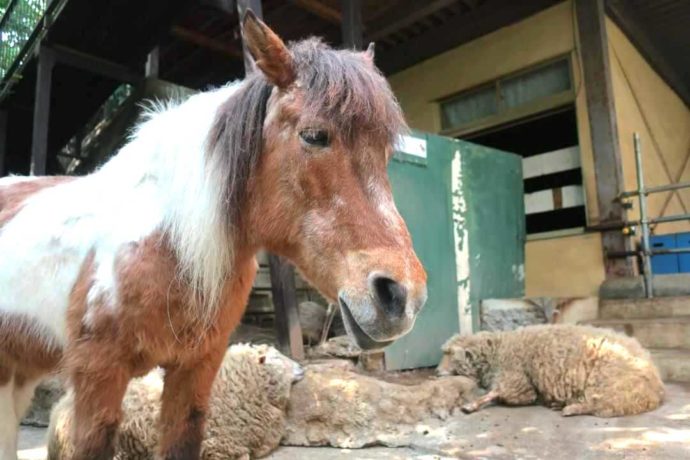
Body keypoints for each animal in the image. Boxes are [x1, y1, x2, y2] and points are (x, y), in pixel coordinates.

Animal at [438, 324, 664, 416]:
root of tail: (657, 389)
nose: (437, 372)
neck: (499, 349)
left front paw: (471, 405)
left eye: (450, 354)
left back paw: (570, 408)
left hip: (610, 385)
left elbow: (496, 392)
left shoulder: (516, 380)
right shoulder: (521, 386)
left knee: (602, 406)